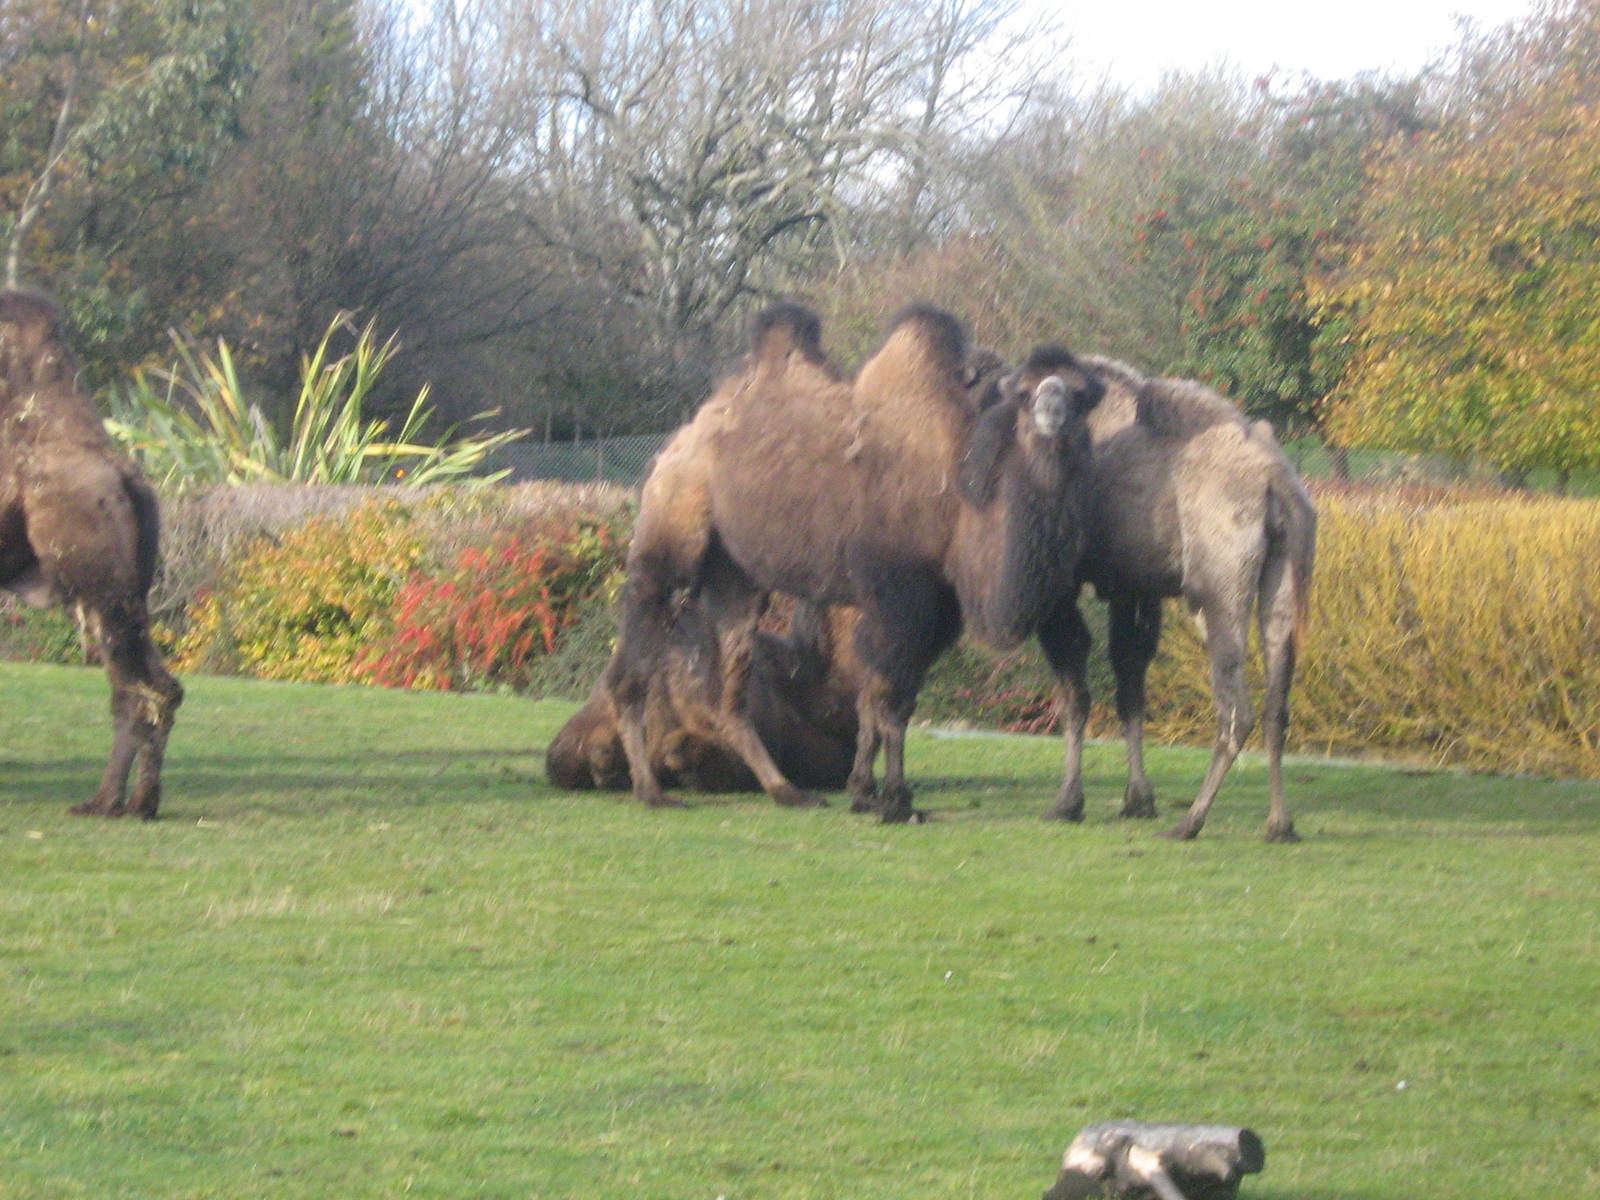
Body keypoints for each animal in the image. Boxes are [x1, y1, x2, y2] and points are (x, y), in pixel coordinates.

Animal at [0, 289, 183, 818]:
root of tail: (128, 479)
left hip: (94, 575)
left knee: (143, 687)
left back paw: (122, 803)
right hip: (118, 589)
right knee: (142, 685)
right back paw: (121, 801)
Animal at [603, 303, 1103, 820]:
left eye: (1084, 393)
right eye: (1024, 393)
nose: (1051, 409)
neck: (960, 495)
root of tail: (678, 440)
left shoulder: (940, 606)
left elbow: (884, 694)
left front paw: (865, 791)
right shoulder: (899, 589)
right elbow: (891, 698)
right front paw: (895, 801)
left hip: (736, 573)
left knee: (729, 691)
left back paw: (788, 790)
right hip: (671, 526)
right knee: (634, 650)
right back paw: (652, 790)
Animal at [1042, 355, 1316, 841]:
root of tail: (1276, 481)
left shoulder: (1062, 585)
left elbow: (1076, 691)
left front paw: (1068, 803)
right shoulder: (1134, 585)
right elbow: (1130, 685)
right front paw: (1137, 800)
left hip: (1216, 589)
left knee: (1237, 710)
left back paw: (1190, 821)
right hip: (1284, 575)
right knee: (1276, 708)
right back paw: (1280, 824)